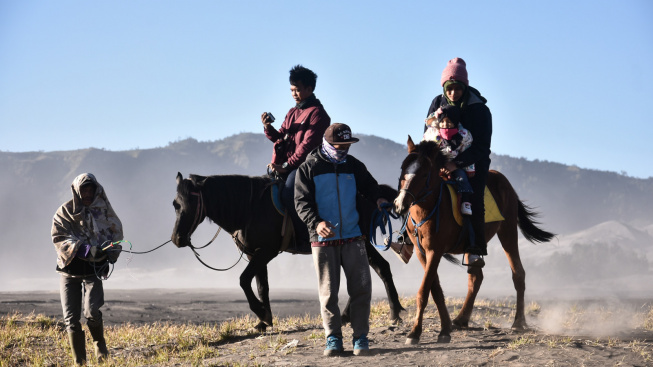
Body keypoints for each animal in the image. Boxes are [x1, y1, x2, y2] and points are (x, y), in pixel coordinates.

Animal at [169, 174, 402, 332]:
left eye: (191, 203)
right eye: (175, 204)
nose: (177, 239)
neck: (248, 207)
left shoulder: (266, 252)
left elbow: (243, 280)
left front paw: (262, 313)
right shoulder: (255, 255)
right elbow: (261, 287)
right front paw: (264, 321)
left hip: (360, 241)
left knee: (378, 270)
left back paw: (394, 313)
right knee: (375, 270)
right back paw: (355, 316)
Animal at [392, 137, 556, 344]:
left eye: (423, 174)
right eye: (403, 168)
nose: (400, 204)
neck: (431, 208)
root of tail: (504, 182)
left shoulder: (435, 251)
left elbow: (424, 291)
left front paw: (415, 333)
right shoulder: (423, 252)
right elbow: (435, 289)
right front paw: (445, 328)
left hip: (508, 231)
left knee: (518, 273)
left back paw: (518, 322)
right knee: (476, 277)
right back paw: (461, 319)